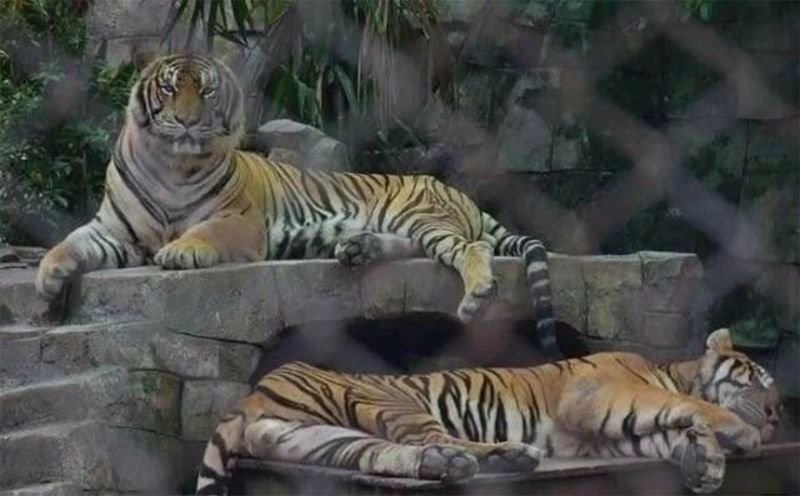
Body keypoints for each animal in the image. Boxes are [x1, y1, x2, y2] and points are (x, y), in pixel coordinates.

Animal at [34, 52, 562, 357]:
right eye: (169, 88)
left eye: (205, 90)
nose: (185, 122)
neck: (170, 163)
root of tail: (458, 192)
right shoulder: (113, 229)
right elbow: (69, 242)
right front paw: (48, 280)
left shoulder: (240, 222)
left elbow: (204, 231)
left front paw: (181, 251)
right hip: (413, 226)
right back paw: (356, 249)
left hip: (421, 215)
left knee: (471, 249)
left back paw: (475, 295)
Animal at [195, 328, 781, 495]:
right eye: (759, 381)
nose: (778, 415)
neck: (674, 369)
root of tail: (250, 395)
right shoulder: (600, 397)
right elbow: (685, 406)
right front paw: (738, 433)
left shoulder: (604, 437)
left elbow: (673, 432)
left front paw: (704, 461)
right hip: (394, 403)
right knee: (435, 439)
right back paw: (506, 457)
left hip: (316, 437)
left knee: (389, 456)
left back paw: (474, 464)